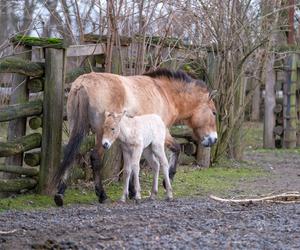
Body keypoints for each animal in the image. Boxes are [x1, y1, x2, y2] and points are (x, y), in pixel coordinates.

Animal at [53, 69, 218, 207]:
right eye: (214, 112)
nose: (214, 139)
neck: (164, 93)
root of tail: (82, 84)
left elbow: (132, 165)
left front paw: (132, 191)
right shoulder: (162, 133)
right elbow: (176, 149)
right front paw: (167, 180)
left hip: (77, 129)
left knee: (72, 154)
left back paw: (60, 193)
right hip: (101, 136)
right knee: (95, 158)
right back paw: (102, 195)